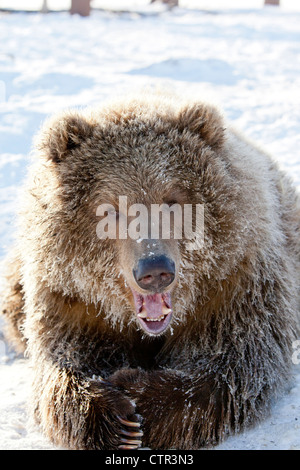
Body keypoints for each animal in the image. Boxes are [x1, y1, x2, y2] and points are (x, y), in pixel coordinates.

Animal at [0, 93, 300, 450]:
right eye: (111, 208)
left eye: (171, 200)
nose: (155, 269)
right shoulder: (73, 299)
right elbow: (62, 364)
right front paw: (113, 415)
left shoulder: (232, 286)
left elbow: (233, 365)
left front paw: (137, 395)